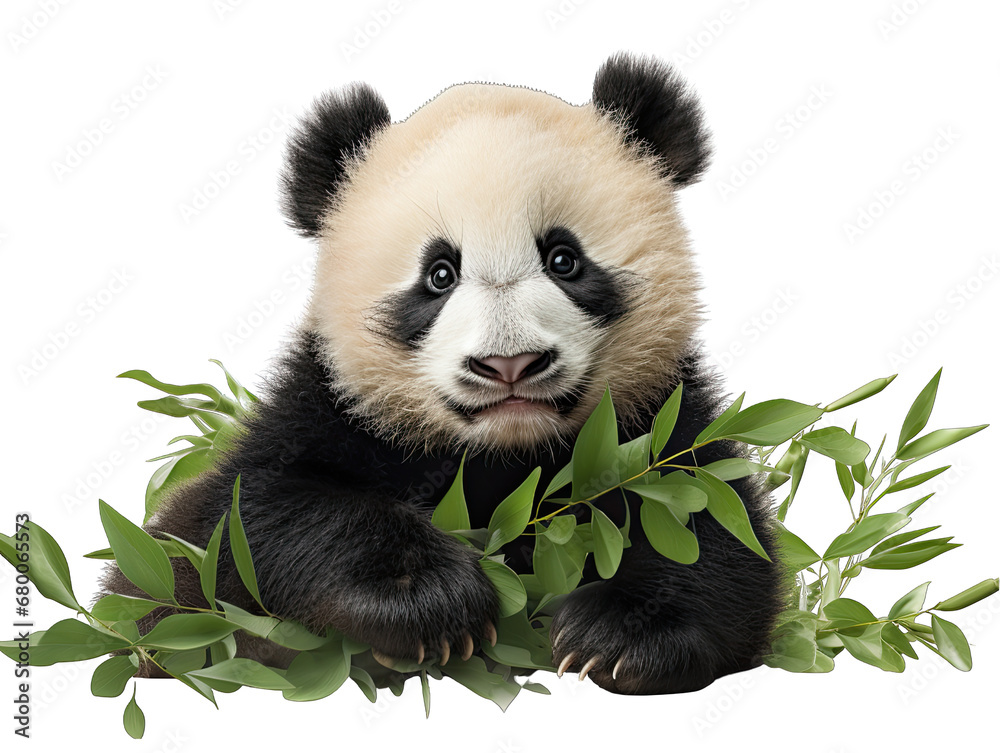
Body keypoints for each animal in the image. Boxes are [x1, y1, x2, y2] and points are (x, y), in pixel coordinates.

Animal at [100, 52, 785, 696]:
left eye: (564, 259)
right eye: (439, 275)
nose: (509, 364)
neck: (504, 456)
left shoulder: (658, 423)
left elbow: (712, 531)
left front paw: (617, 635)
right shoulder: (328, 413)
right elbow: (231, 532)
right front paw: (431, 602)